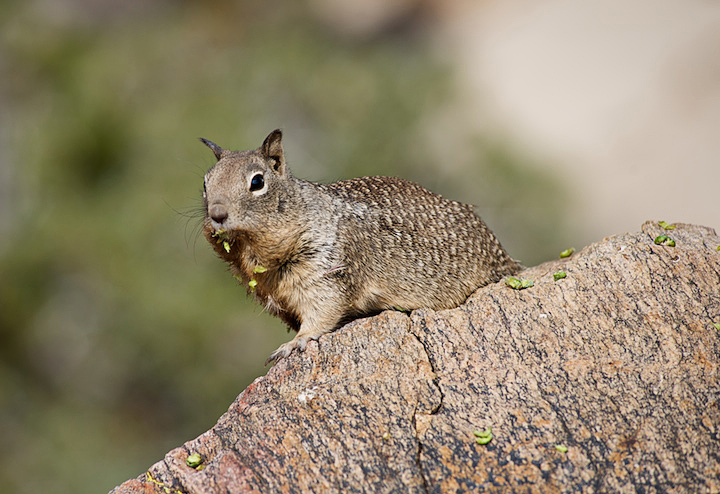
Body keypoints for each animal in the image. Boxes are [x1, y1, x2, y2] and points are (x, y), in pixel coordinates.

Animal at [200, 129, 520, 364]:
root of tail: (505, 257)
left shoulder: (325, 270)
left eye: (257, 182)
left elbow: (322, 312)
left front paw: (295, 342)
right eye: (205, 183)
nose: (216, 214)